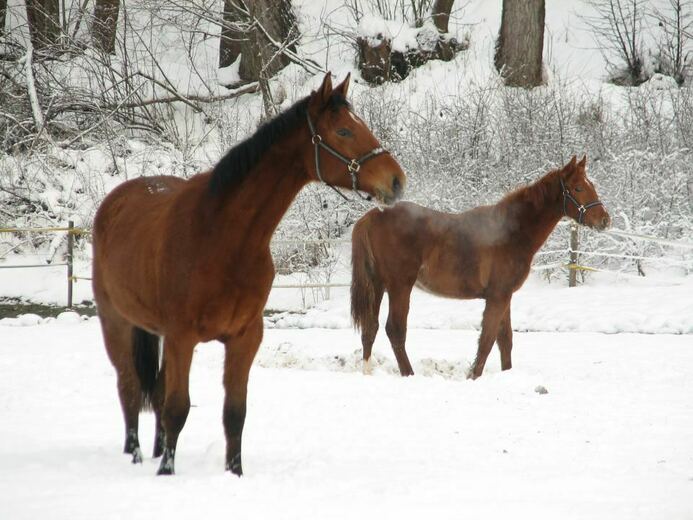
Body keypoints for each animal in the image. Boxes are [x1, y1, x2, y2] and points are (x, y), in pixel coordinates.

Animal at [92, 73, 406, 476]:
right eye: (344, 131)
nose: (396, 181)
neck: (222, 237)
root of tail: (115, 201)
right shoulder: (181, 337)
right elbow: (177, 408)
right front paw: (166, 473)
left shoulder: (244, 338)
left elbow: (234, 413)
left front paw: (234, 473)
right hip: (116, 322)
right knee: (130, 389)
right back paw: (135, 454)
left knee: (155, 391)